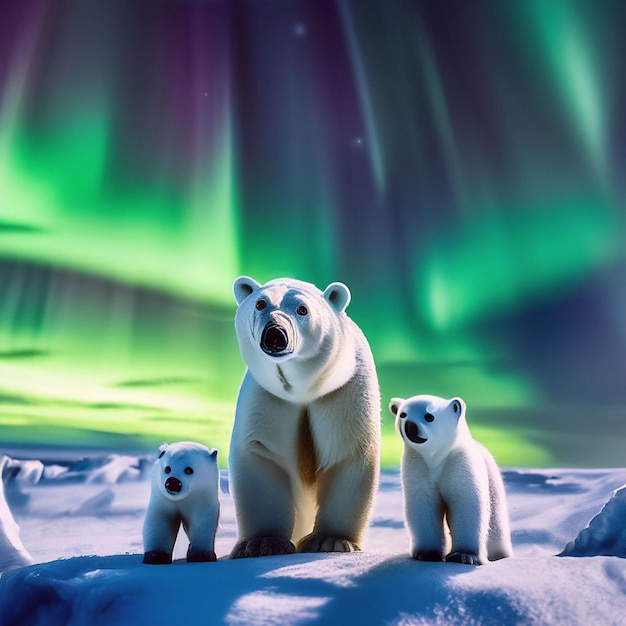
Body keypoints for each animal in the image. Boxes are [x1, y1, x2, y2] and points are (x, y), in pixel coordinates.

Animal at [228, 276, 378, 560]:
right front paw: (262, 543)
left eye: (302, 309)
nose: (275, 333)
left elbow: (348, 453)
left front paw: (331, 540)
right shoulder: (268, 399)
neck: (302, 389)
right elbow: (261, 454)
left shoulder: (342, 392)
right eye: (261, 303)